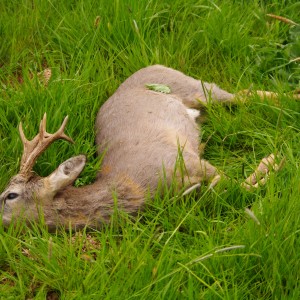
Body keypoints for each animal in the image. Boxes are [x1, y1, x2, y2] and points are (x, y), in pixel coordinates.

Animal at [0, 65, 288, 230]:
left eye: (10, 195)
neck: (137, 189)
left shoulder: (185, 159)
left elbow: (236, 186)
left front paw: (274, 159)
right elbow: (224, 189)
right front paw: (273, 162)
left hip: (197, 87)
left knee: (243, 94)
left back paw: (290, 97)